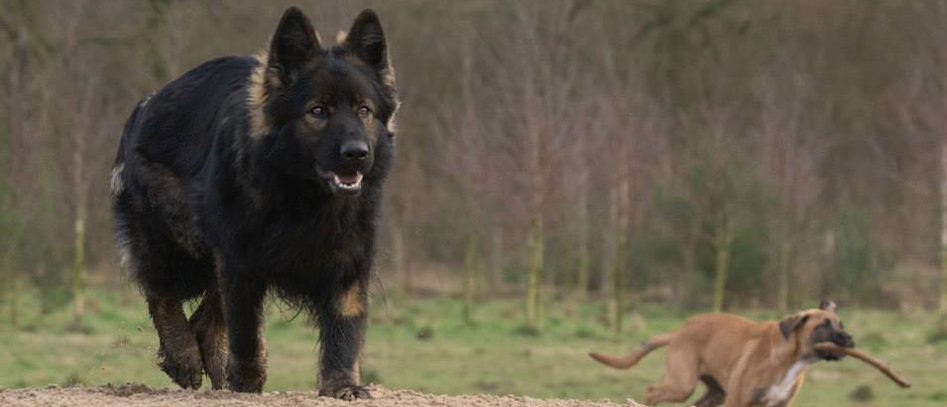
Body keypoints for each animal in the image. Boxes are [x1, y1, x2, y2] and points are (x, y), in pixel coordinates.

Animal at [588, 302, 856, 407]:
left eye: (840, 324)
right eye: (823, 325)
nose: (849, 338)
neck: (790, 358)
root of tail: (682, 329)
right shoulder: (737, 401)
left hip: (715, 393)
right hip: (682, 383)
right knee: (651, 391)